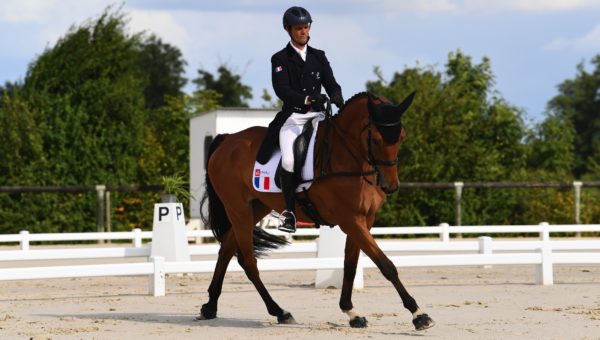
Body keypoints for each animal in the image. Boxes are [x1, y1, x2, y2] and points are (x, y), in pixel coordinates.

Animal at [199, 91, 434, 330]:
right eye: (376, 139)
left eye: (401, 137)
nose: (390, 186)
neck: (350, 156)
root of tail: (227, 140)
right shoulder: (350, 219)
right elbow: (385, 264)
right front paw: (419, 315)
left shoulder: (364, 219)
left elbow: (350, 264)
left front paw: (351, 312)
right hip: (238, 210)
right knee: (248, 262)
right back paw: (279, 311)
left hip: (255, 208)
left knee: (226, 249)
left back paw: (210, 306)